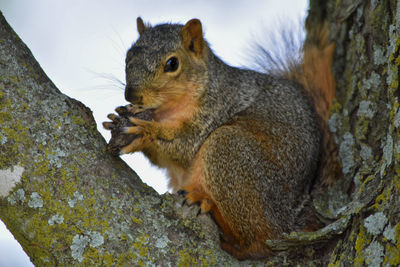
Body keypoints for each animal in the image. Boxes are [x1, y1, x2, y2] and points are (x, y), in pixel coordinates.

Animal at [103, 17, 340, 260]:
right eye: (128, 56)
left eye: (172, 64)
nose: (131, 95)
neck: (167, 110)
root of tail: (290, 219)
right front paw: (118, 120)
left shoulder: (215, 110)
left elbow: (186, 146)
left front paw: (145, 132)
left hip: (229, 151)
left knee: (260, 241)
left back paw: (209, 208)